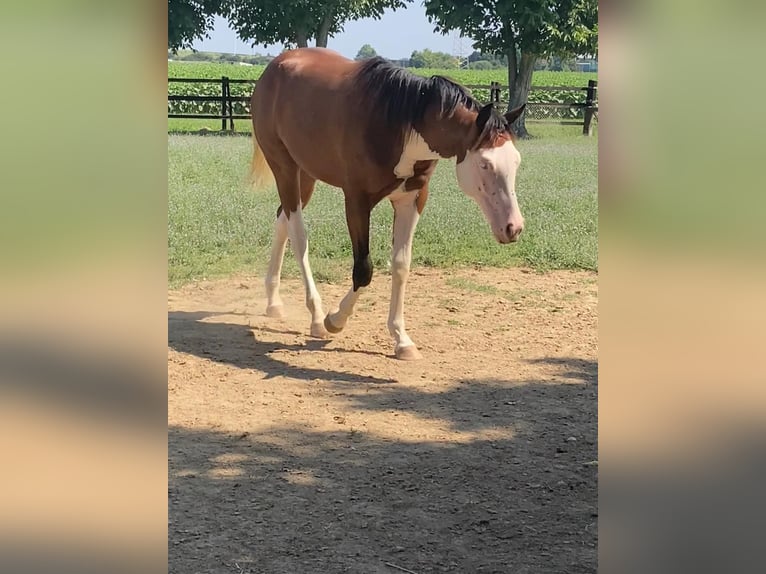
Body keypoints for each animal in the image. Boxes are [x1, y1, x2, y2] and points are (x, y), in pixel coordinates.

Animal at [252, 49, 528, 362]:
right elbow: (364, 269)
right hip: (284, 167)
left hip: (306, 174)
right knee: (298, 236)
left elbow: (400, 265)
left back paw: (273, 302)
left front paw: (402, 339)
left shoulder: (412, 199)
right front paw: (335, 319)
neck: (403, 122)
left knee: (282, 220)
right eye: (485, 164)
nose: (513, 227)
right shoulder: (356, 201)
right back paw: (316, 316)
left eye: (516, 161)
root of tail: (276, 66)